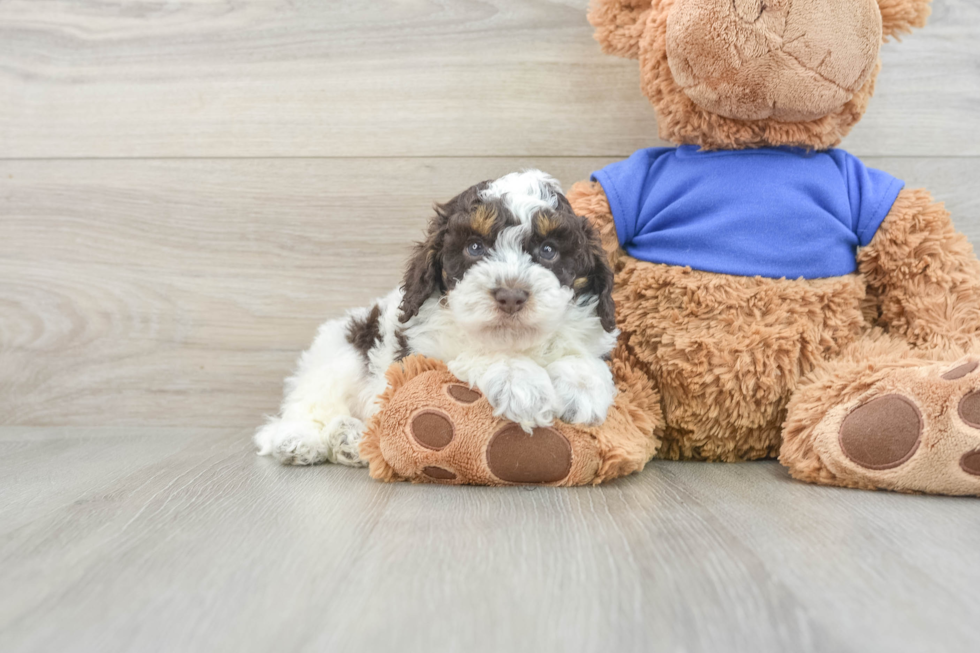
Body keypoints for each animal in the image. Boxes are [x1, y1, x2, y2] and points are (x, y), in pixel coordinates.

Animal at [255, 168, 620, 464]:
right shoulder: (422, 355)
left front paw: (581, 388)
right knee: (309, 403)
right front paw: (520, 382)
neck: (516, 341)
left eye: (548, 251)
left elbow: (581, 354)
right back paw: (301, 439)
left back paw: (350, 439)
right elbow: (475, 353)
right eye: (474, 247)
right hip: (341, 356)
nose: (511, 296)